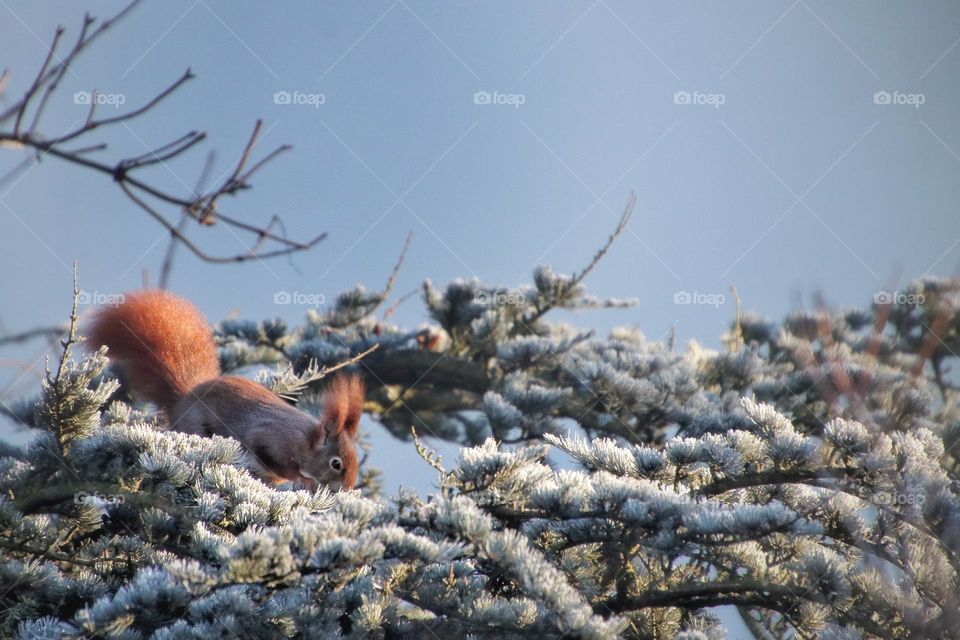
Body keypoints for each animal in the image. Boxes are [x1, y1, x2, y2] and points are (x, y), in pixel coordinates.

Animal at [87, 290, 364, 490]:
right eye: (336, 464)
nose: (346, 490)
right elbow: (276, 463)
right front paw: (303, 480)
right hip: (197, 428)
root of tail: (183, 399)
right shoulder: (271, 439)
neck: (306, 441)